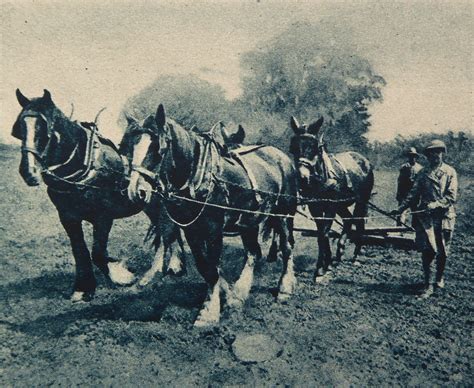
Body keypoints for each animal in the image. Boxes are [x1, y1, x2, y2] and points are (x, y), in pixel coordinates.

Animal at [12, 88, 183, 304]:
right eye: (20, 129)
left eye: (45, 129)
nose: (28, 171)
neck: (85, 165)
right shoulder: (68, 217)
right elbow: (79, 250)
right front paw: (82, 289)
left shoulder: (103, 217)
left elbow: (98, 253)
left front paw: (122, 276)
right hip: (150, 205)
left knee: (169, 228)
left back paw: (173, 266)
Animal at [124, 104, 298, 328]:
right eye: (130, 147)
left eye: (158, 148)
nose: (136, 191)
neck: (197, 176)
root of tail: (281, 156)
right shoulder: (191, 231)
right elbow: (205, 266)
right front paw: (227, 296)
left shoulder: (214, 230)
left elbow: (213, 266)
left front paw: (209, 312)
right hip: (248, 222)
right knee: (252, 253)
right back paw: (239, 294)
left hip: (284, 214)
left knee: (287, 247)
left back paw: (285, 288)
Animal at [288, 114, 374, 278]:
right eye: (293, 148)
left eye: (315, 147)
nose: (302, 177)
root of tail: (363, 159)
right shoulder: (315, 207)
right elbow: (321, 234)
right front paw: (323, 264)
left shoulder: (330, 206)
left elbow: (324, 233)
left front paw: (322, 266)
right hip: (341, 204)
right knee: (348, 219)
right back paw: (339, 252)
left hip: (362, 201)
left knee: (359, 223)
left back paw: (355, 256)